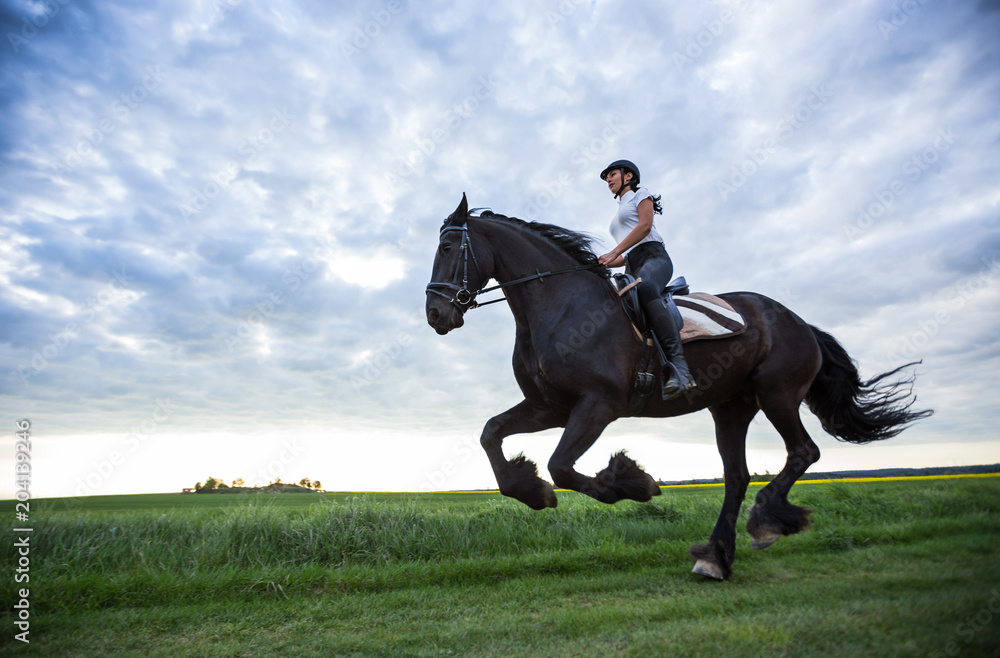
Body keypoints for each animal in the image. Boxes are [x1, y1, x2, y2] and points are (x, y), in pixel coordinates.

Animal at [422, 195, 928, 580]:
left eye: (447, 246)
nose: (435, 315)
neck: (559, 305)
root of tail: (798, 321)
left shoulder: (597, 405)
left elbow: (561, 466)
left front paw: (630, 483)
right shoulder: (548, 406)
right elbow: (491, 434)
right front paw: (533, 492)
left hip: (777, 394)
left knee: (803, 452)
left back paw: (766, 523)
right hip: (731, 407)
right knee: (737, 476)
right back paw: (715, 558)